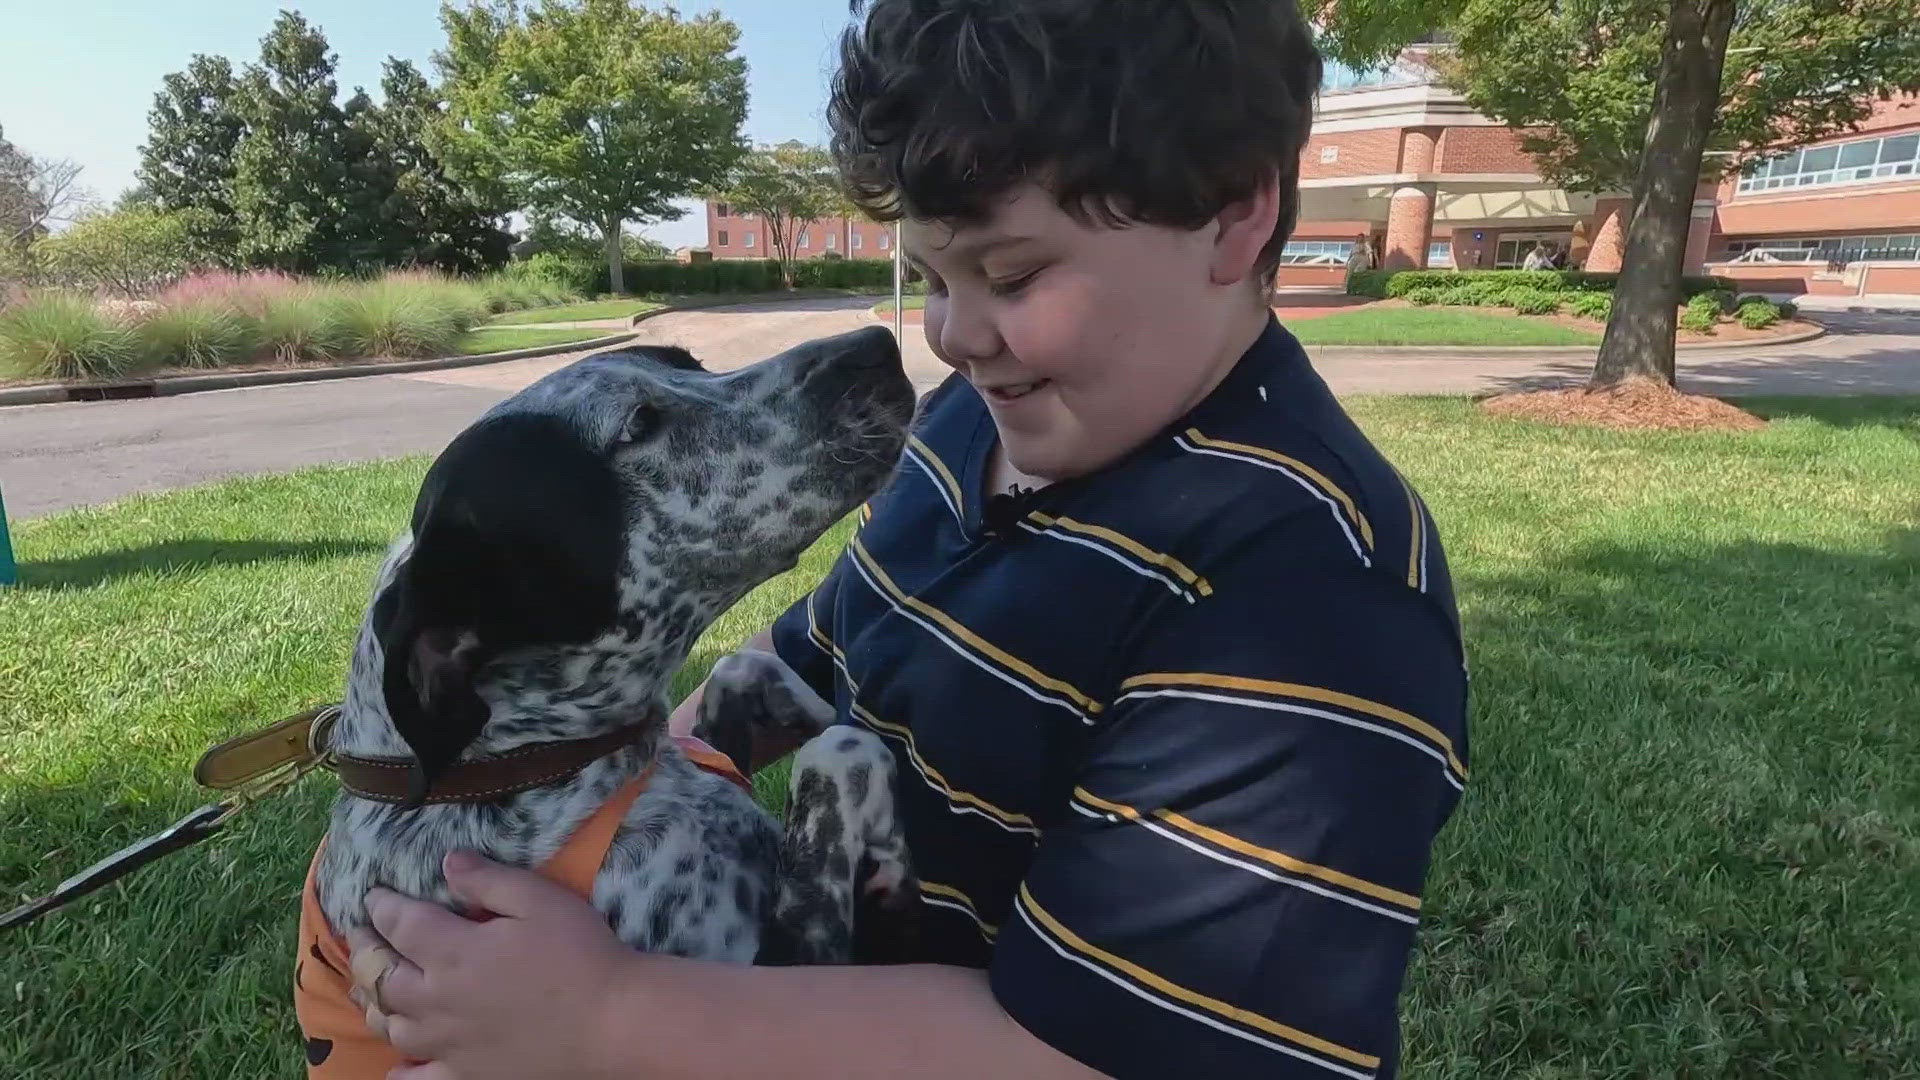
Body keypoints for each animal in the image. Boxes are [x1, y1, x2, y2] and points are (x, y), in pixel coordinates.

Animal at [311, 322, 917, 960]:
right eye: (637, 426)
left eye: (689, 363)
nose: (876, 343)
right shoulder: (782, 956)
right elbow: (841, 751)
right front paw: (887, 846)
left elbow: (741, 667)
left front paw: (815, 710)